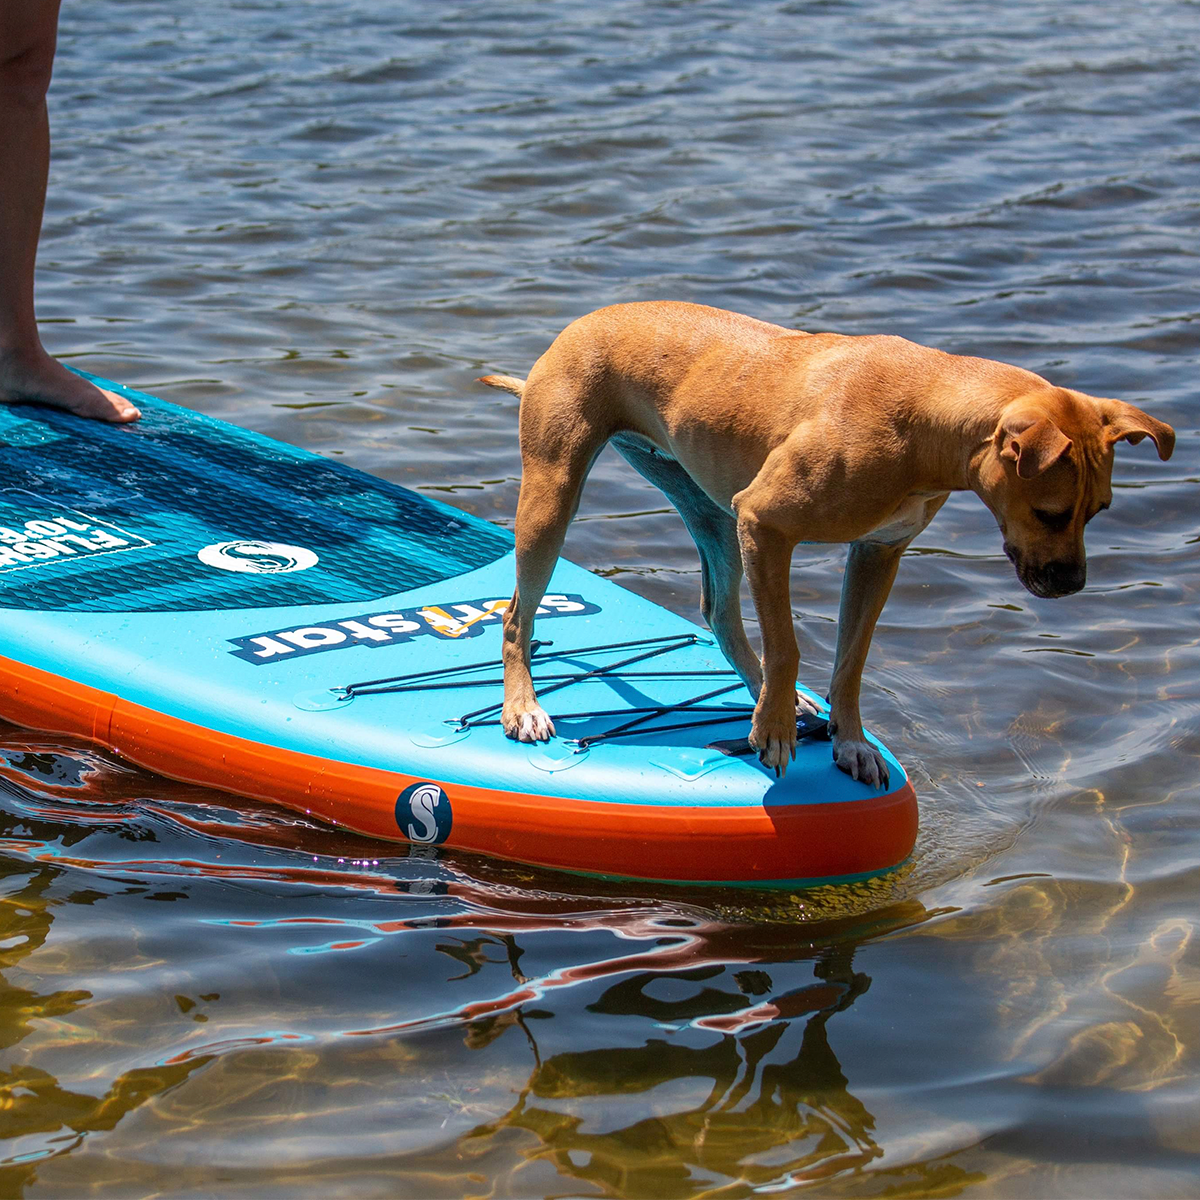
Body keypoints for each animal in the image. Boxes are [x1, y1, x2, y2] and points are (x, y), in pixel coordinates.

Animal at [477, 300, 1171, 787]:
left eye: (1100, 511)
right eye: (1050, 513)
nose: (1073, 585)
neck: (928, 418)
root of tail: (575, 327)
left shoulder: (877, 554)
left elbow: (852, 659)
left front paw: (849, 740)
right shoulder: (766, 525)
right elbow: (787, 645)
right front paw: (776, 732)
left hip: (708, 511)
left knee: (720, 611)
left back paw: (772, 697)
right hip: (556, 494)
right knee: (516, 615)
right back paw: (523, 708)